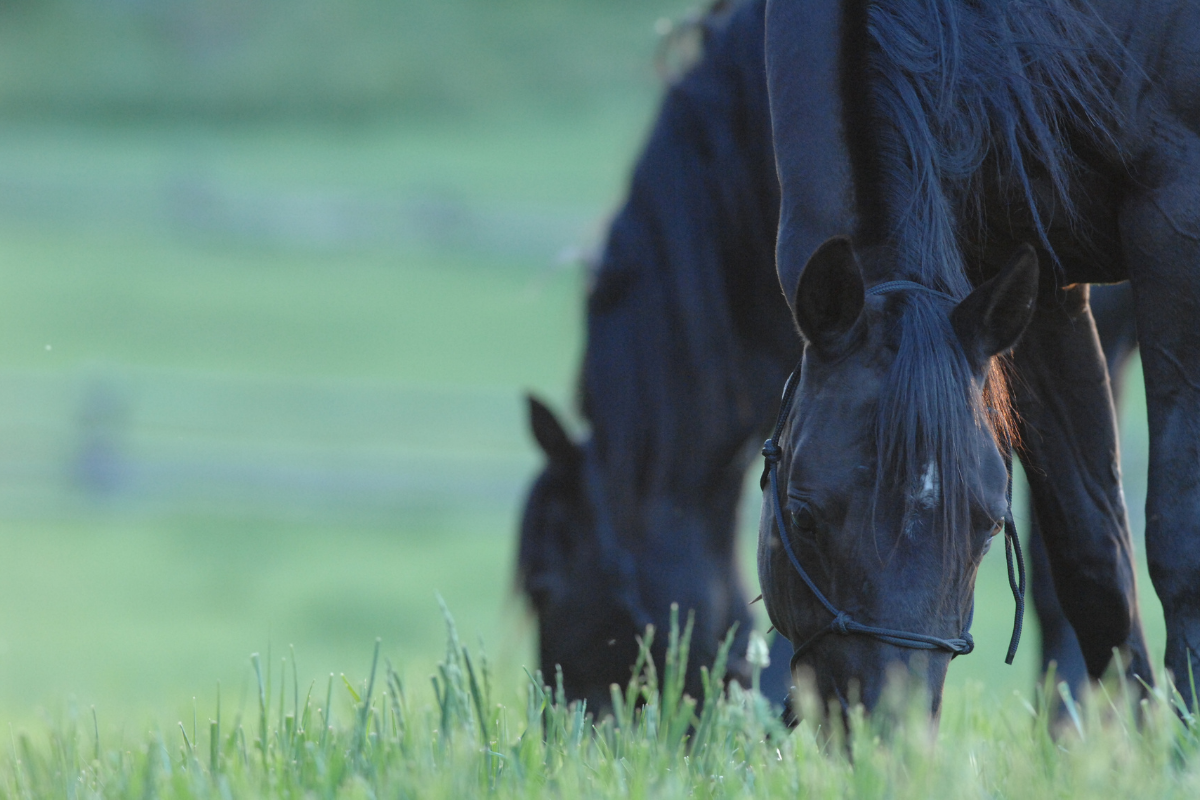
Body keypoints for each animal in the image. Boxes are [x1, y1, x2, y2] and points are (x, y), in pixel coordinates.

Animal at [759, 0, 1187, 713]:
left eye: (987, 528)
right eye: (804, 518)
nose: (889, 729)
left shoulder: (1173, 225)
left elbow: (1179, 534)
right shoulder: (1037, 282)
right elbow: (1095, 559)